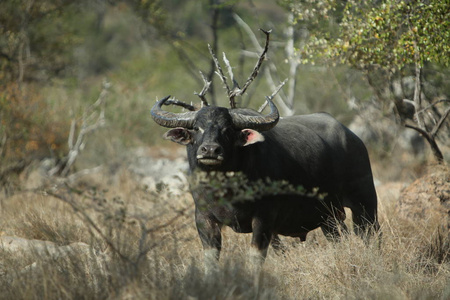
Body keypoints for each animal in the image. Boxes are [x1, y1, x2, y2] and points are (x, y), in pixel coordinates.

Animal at [152, 95, 380, 270]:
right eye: (197, 128)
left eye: (227, 129)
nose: (210, 150)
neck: (227, 188)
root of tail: (354, 138)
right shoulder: (203, 218)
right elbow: (211, 259)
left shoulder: (263, 218)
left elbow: (256, 256)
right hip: (329, 218)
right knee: (338, 238)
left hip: (365, 205)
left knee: (370, 234)